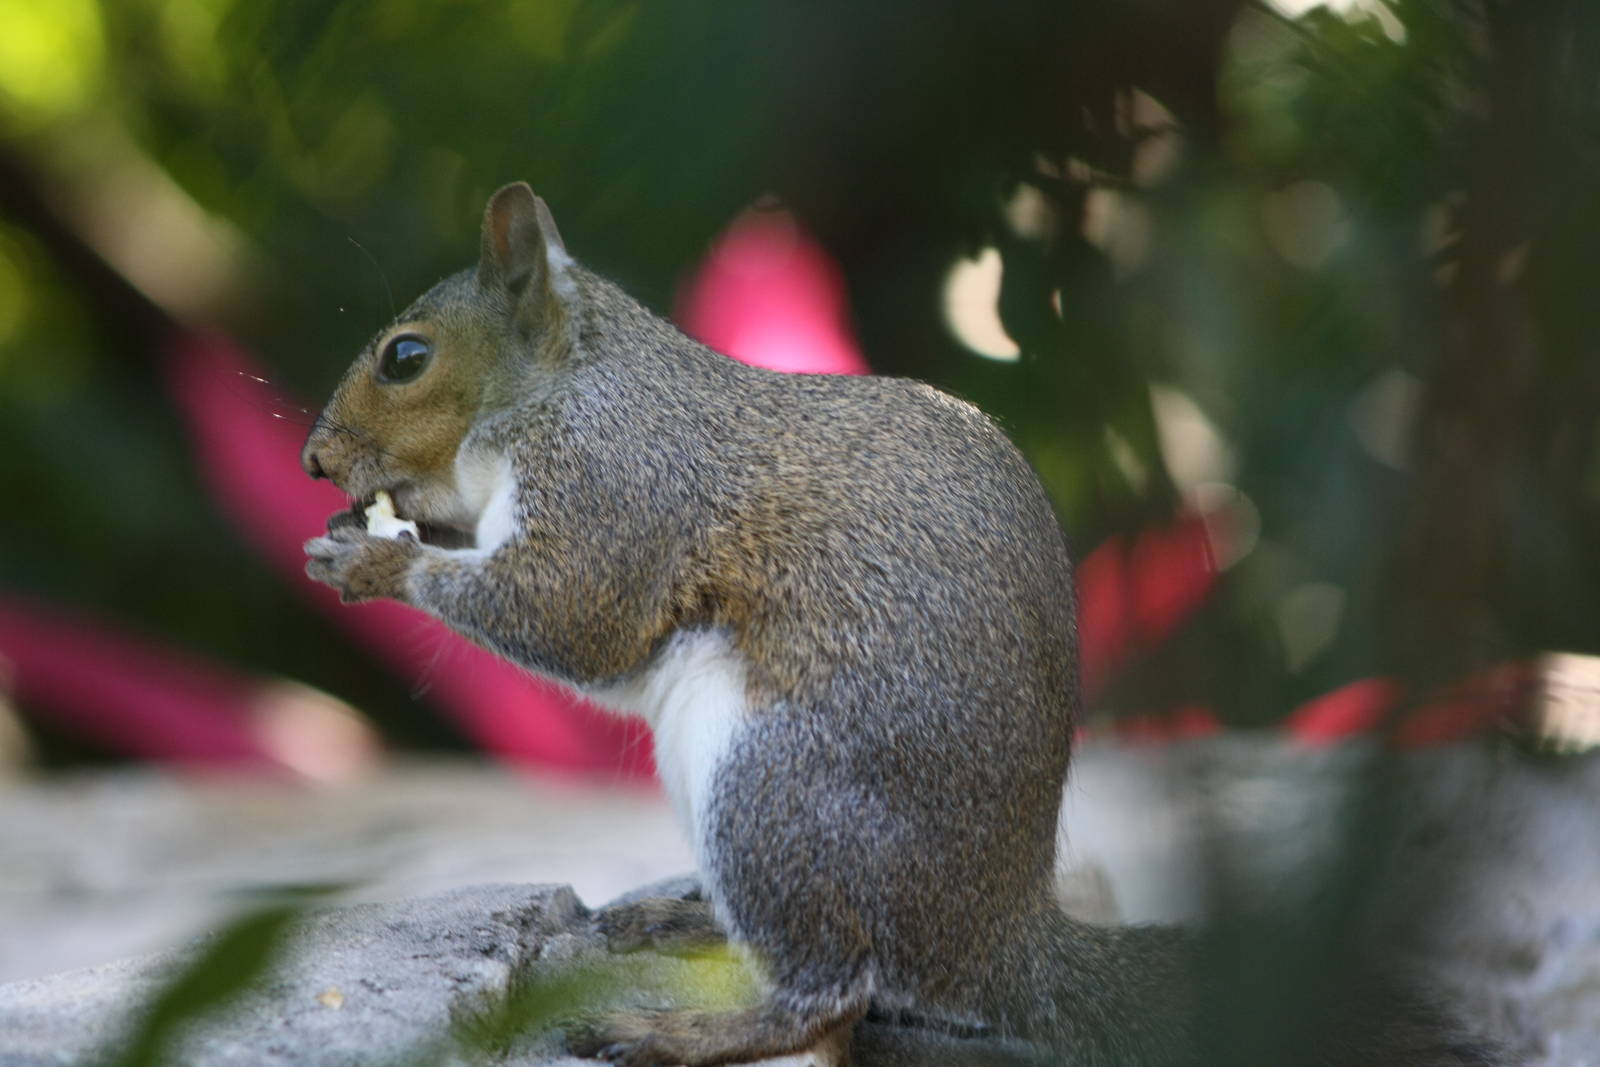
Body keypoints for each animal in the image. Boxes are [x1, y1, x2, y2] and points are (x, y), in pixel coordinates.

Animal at [302, 184, 1503, 1066]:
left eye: (405, 356)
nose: (313, 460)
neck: (564, 388)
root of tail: (1000, 937)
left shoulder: (617, 488)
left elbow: (565, 611)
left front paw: (375, 558)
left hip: (772, 783)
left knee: (831, 995)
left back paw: (678, 1029)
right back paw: (681, 922)